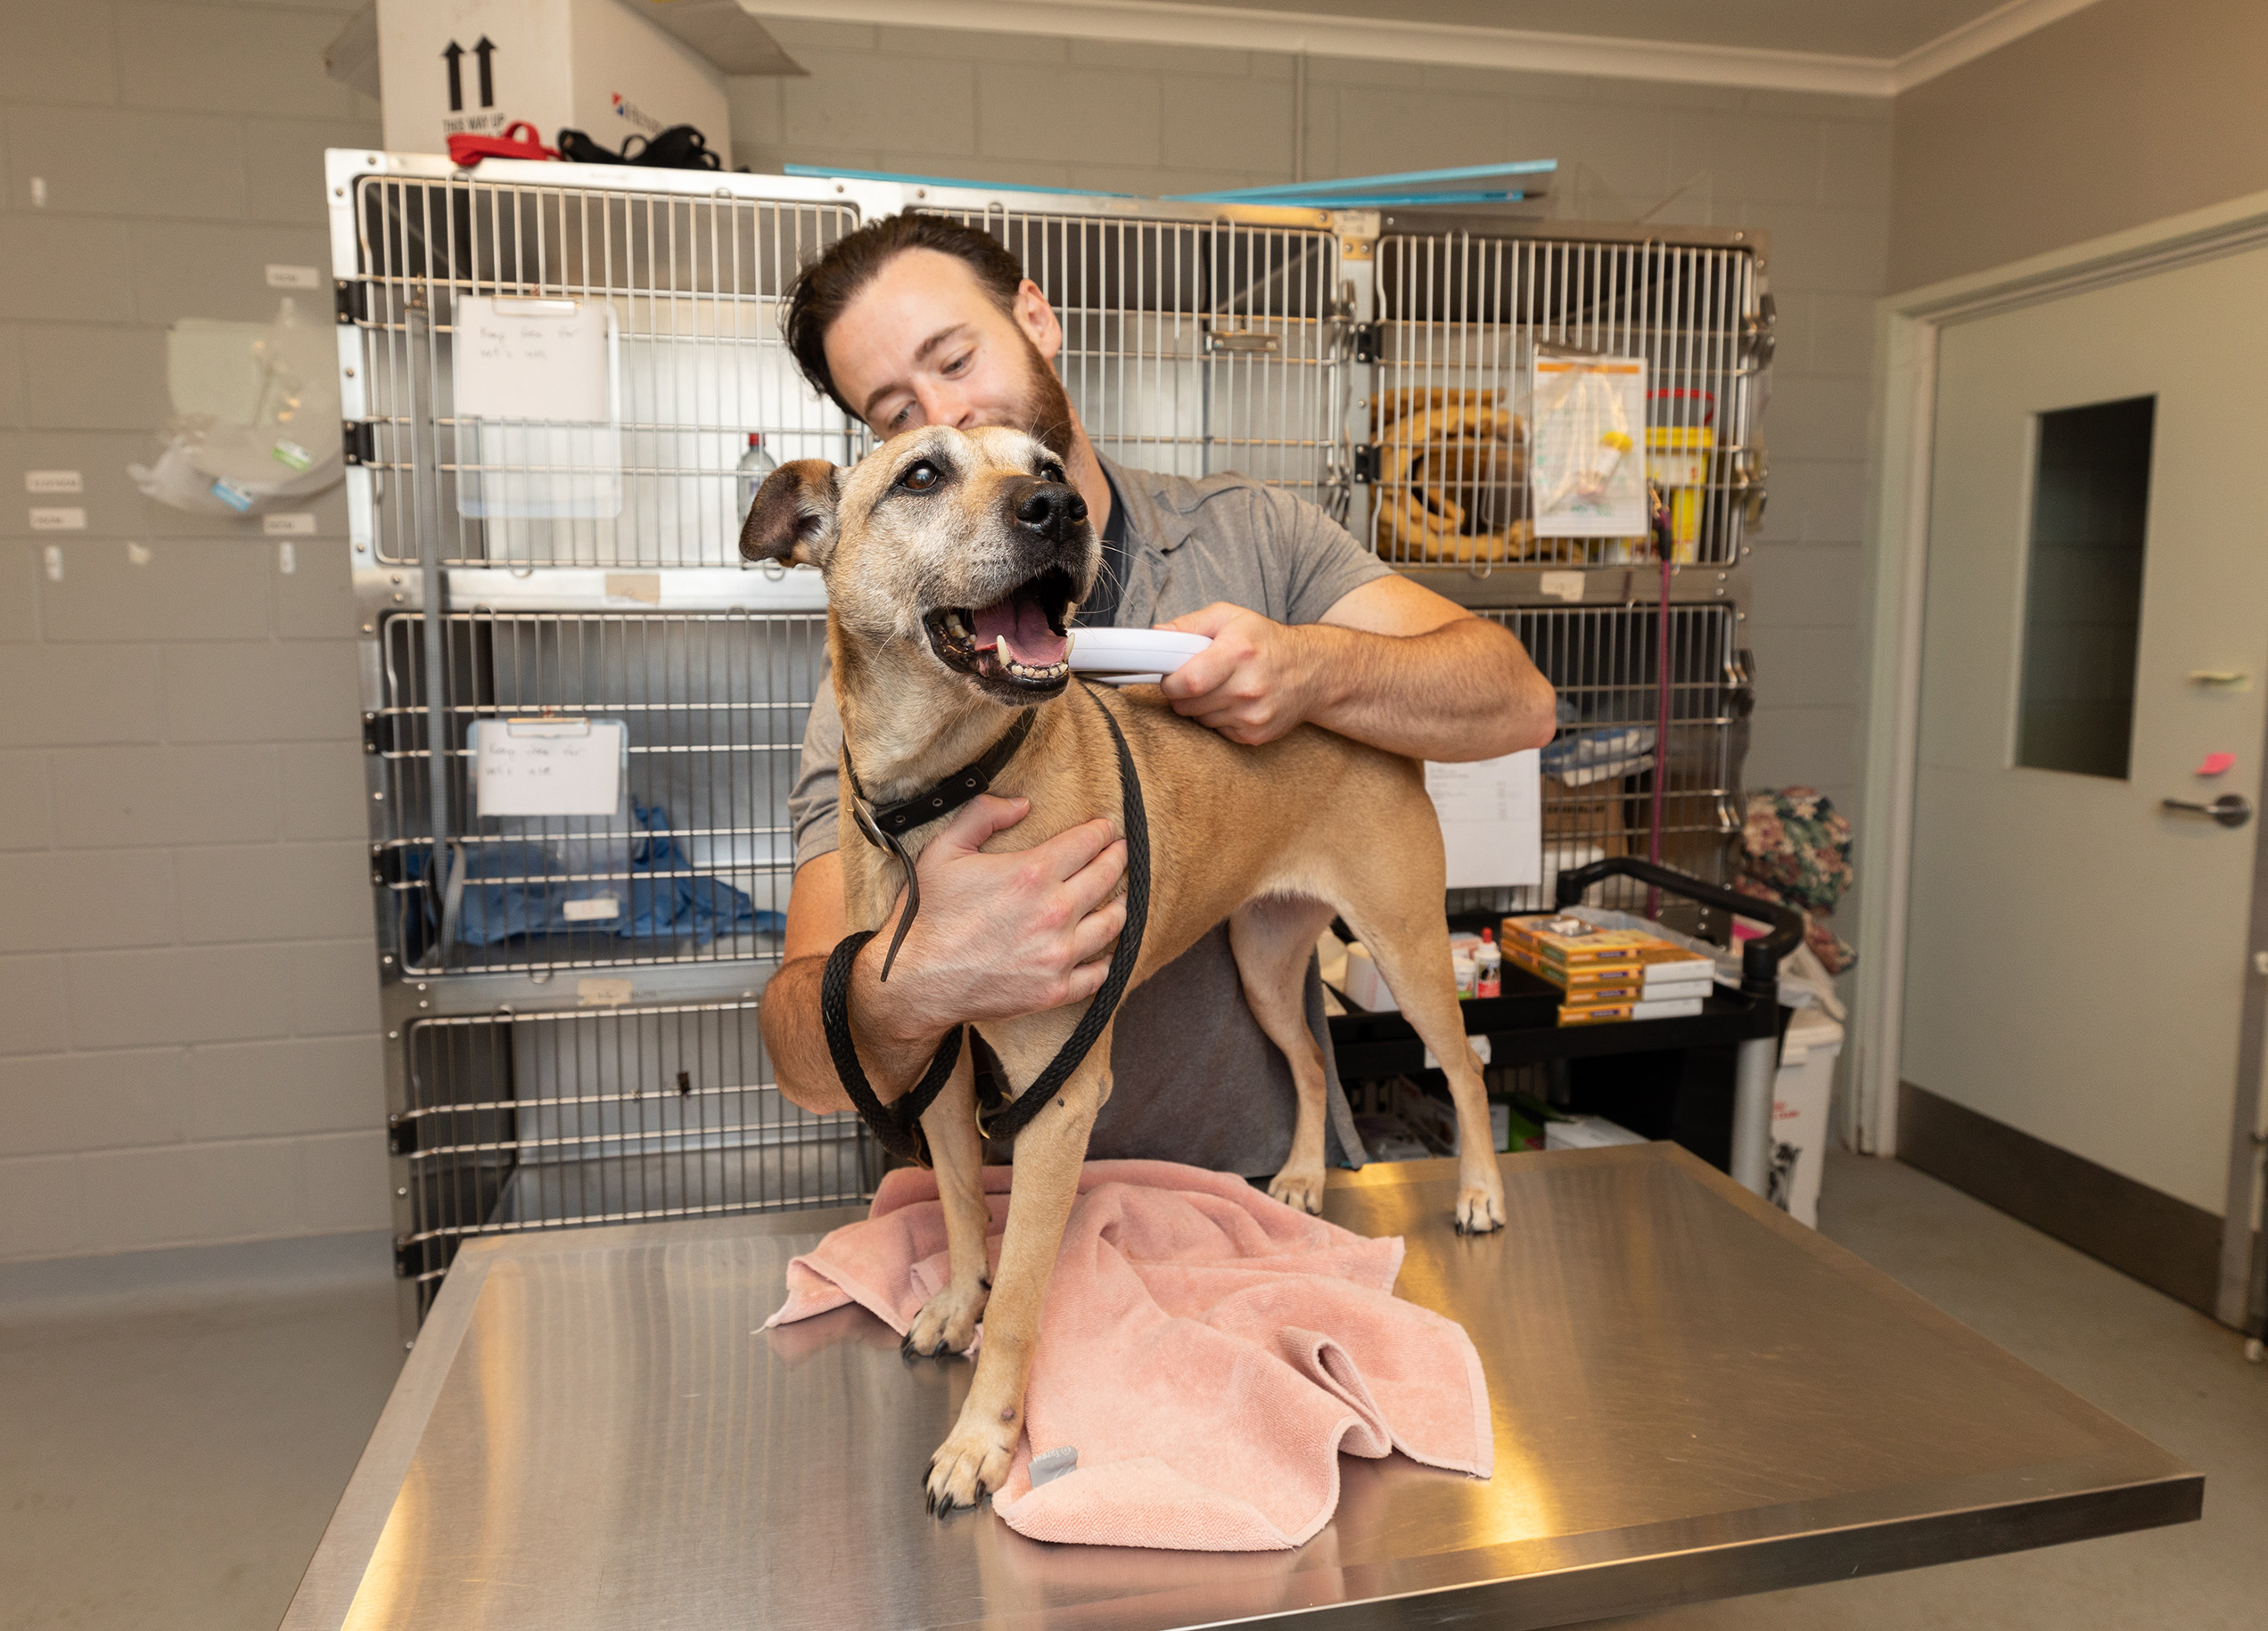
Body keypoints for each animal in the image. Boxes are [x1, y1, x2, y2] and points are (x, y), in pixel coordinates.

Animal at [744, 423, 1506, 1515]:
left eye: (1047, 466)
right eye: (921, 473)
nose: (1056, 511)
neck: (943, 795)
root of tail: (1358, 724)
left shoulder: (1061, 1099)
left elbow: (1022, 1298)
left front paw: (981, 1439)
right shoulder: (931, 1061)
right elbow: (962, 1210)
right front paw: (955, 1299)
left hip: (1405, 949)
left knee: (1466, 1070)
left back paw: (1481, 1192)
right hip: (1265, 964)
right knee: (1310, 1066)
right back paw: (1303, 1176)